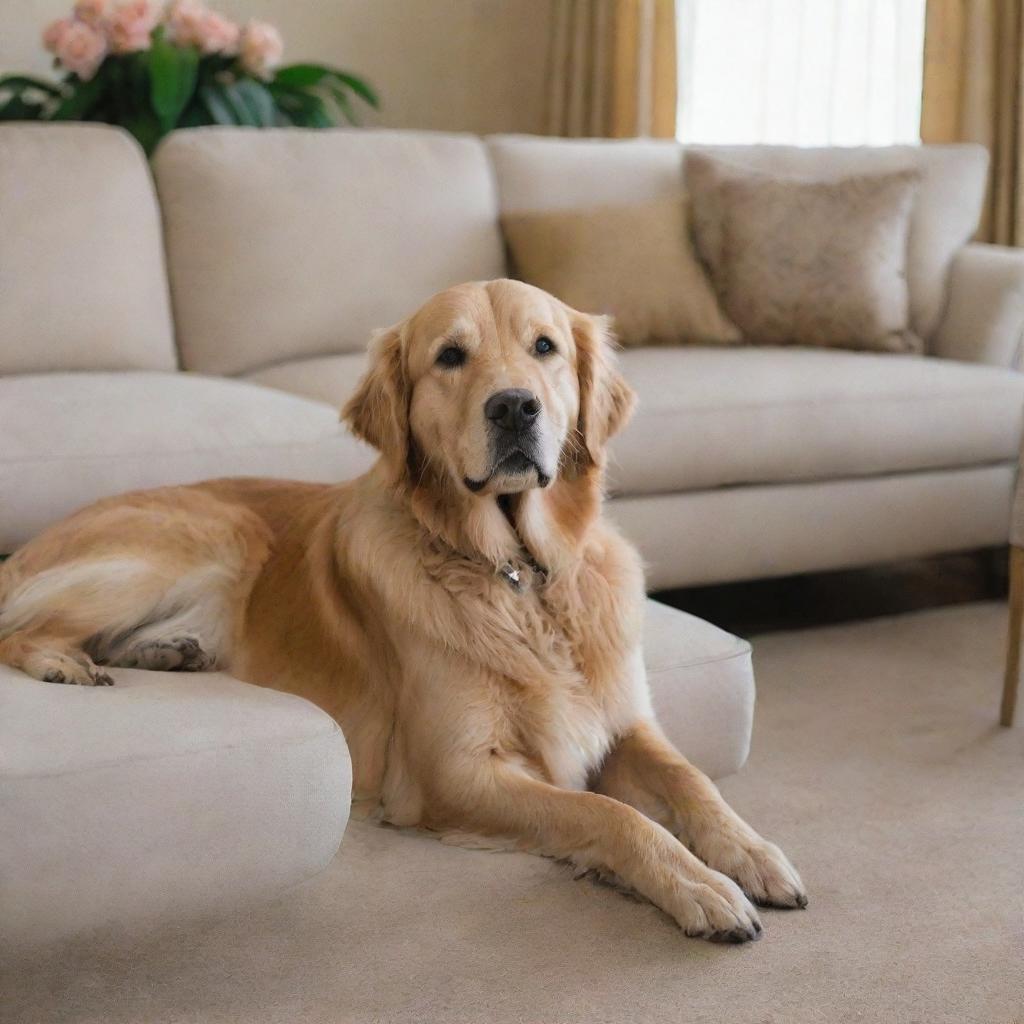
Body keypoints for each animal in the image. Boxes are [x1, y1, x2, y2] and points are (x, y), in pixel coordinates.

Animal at [0, 276, 806, 937]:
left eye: (544, 347)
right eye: (450, 356)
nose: (515, 407)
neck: (518, 575)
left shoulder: (623, 722)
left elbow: (694, 781)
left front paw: (753, 854)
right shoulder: (453, 773)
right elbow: (608, 812)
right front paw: (700, 887)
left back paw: (168, 650)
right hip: (211, 534)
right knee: (18, 630)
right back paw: (65, 663)